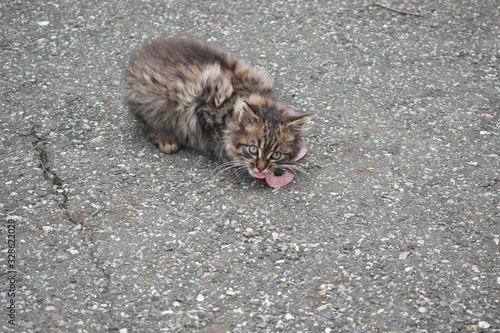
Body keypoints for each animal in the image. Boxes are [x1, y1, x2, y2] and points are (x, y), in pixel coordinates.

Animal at [124, 36, 308, 179]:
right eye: (253, 149)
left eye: (276, 155)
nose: (261, 168)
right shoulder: (204, 105)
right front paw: (227, 156)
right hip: (154, 105)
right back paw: (166, 140)